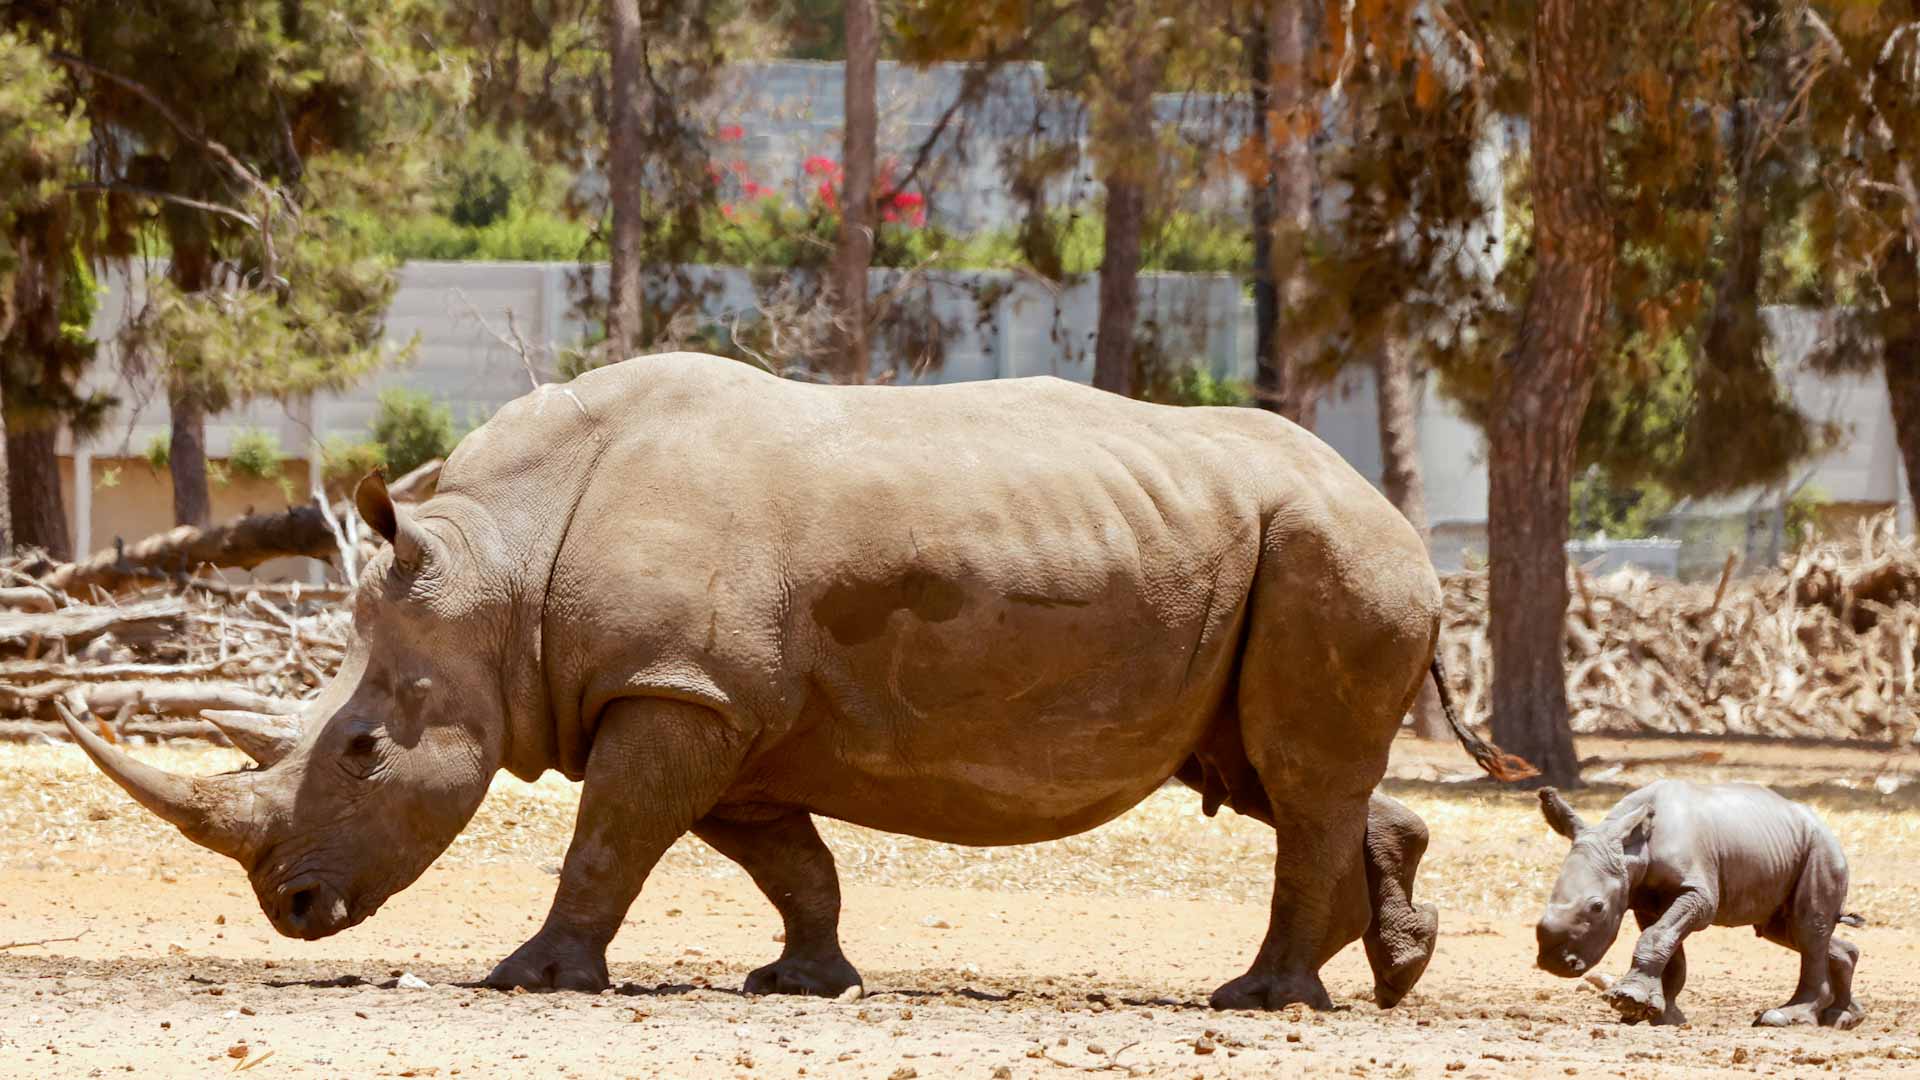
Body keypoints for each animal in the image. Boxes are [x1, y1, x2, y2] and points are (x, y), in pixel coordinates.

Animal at [64, 353, 1525, 1009]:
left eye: (363, 749)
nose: (293, 910)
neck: (497, 564)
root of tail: (1399, 518)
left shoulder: (675, 694)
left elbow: (606, 844)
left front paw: (530, 977)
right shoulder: (709, 707)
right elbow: (785, 860)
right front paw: (803, 982)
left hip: (1334, 553)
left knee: (1295, 774)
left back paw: (1262, 999)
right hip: (1279, 556)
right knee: (1271, 773)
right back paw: (1384, 972)